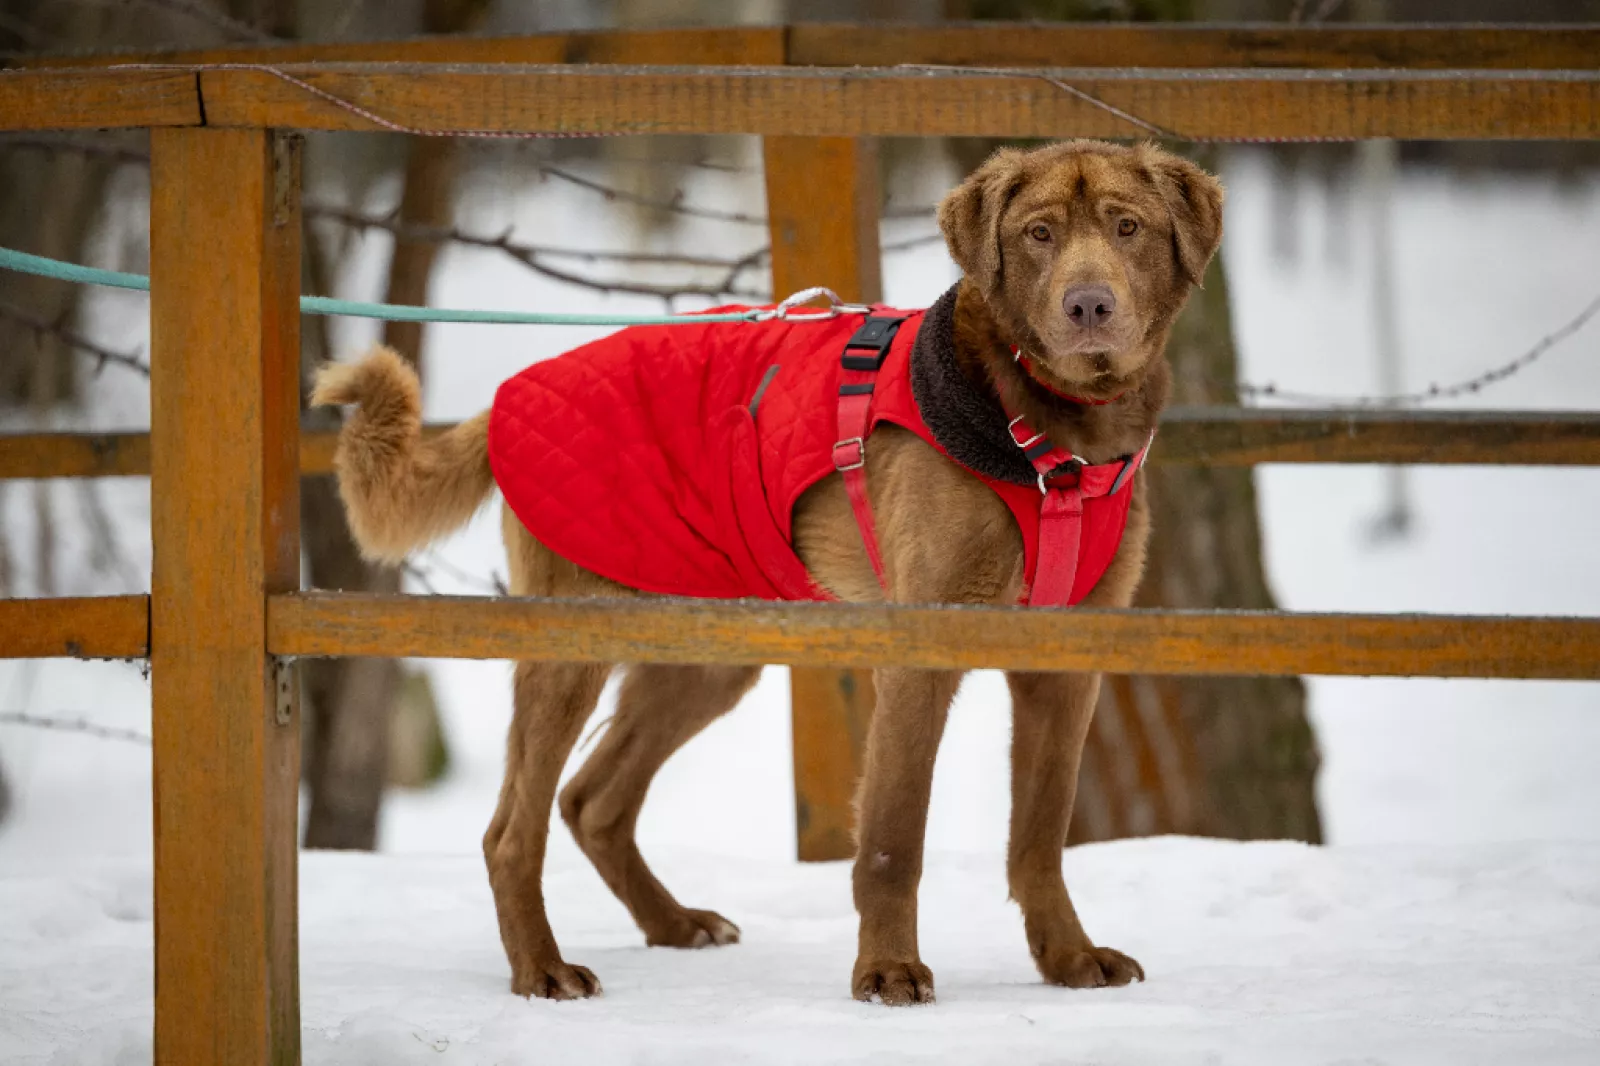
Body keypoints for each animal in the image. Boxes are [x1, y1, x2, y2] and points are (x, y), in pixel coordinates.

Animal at [312, 139, 1223, 1005]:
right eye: (1038, 234)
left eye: (1127, 228)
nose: (1089, 305)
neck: (1052, 439)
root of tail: (517, 391)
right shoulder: (920, 650)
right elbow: (893, 838)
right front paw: (887, 972)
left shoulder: (1065, 661)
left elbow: (1039, 835)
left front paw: (1068, 959)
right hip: (573, 641)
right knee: (513, 829)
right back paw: (543, 970)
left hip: (708, 649)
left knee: (593, 801)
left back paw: (673, 925)